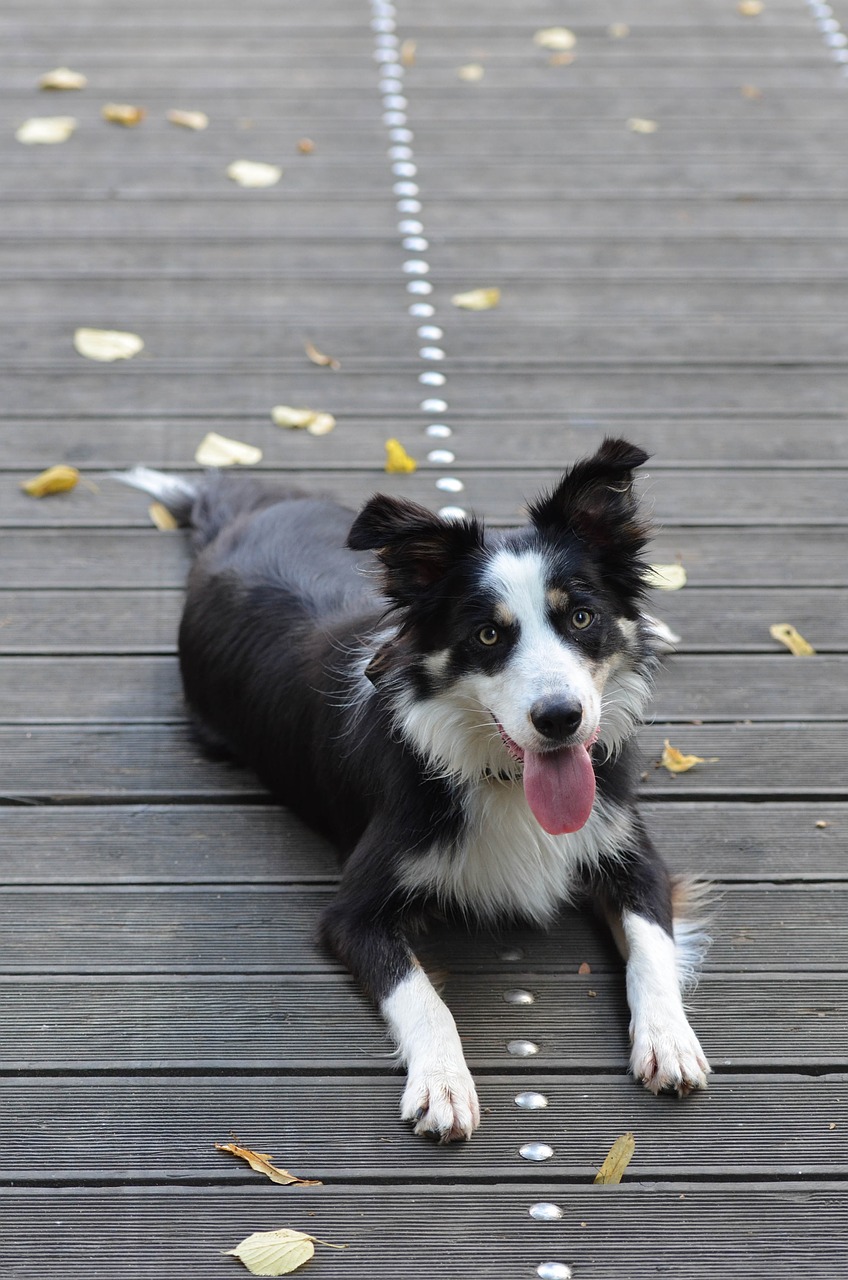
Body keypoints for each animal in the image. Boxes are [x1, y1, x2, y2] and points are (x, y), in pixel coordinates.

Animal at [122, 440, 712, 1141]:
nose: (561, 718)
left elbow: (652, 946)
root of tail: (235, 519)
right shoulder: (354, 912)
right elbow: (422, 995)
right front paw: (442, 1085)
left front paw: (669, 1040)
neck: (503, 777)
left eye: (581, 616)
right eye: (488, 635)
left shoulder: (633, 854)